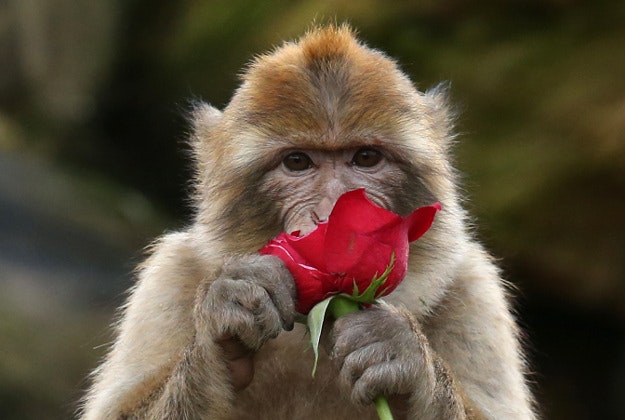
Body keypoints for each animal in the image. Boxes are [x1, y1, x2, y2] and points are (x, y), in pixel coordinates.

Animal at [80, 25, 532, 420]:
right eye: (297, 162)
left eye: (366, 157)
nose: (331, 213)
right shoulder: (170, 272)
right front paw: (229, 309)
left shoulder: (475, 287)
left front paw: (401, 351)